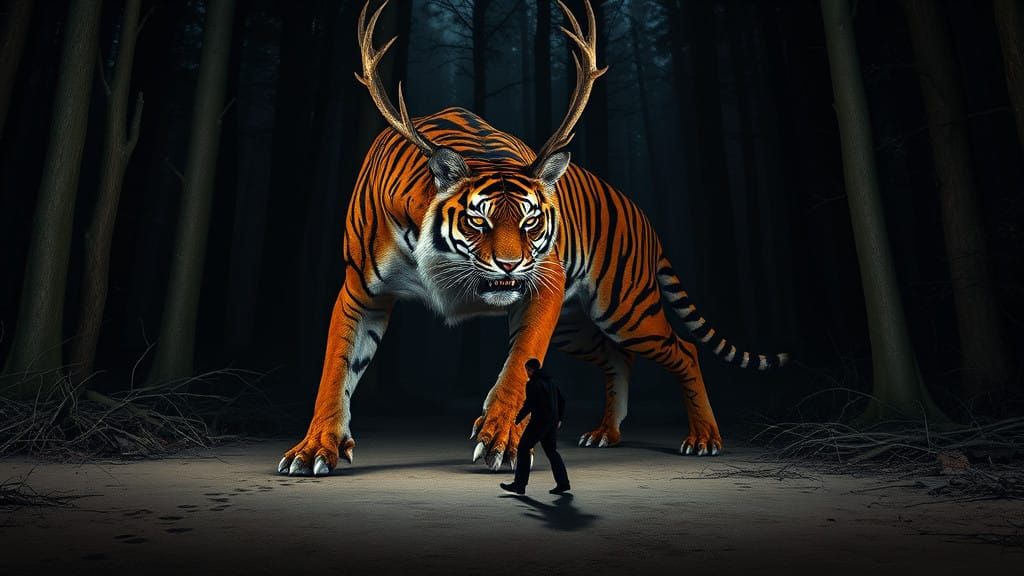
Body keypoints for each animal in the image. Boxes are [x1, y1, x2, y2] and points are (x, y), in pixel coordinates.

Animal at [277, 0, 788, 476]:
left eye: (532, 222)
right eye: (478, 221)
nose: (509, 265)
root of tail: (643, 215)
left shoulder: (547, 281)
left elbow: (519, 362)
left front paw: (499, 438)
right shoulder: (360, 290)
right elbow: (337, 366)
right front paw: (314, 449)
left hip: (626, 308)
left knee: (682, 350)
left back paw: (703, 438)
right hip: (575, 326)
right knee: (618, 358)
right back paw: (606, 433)